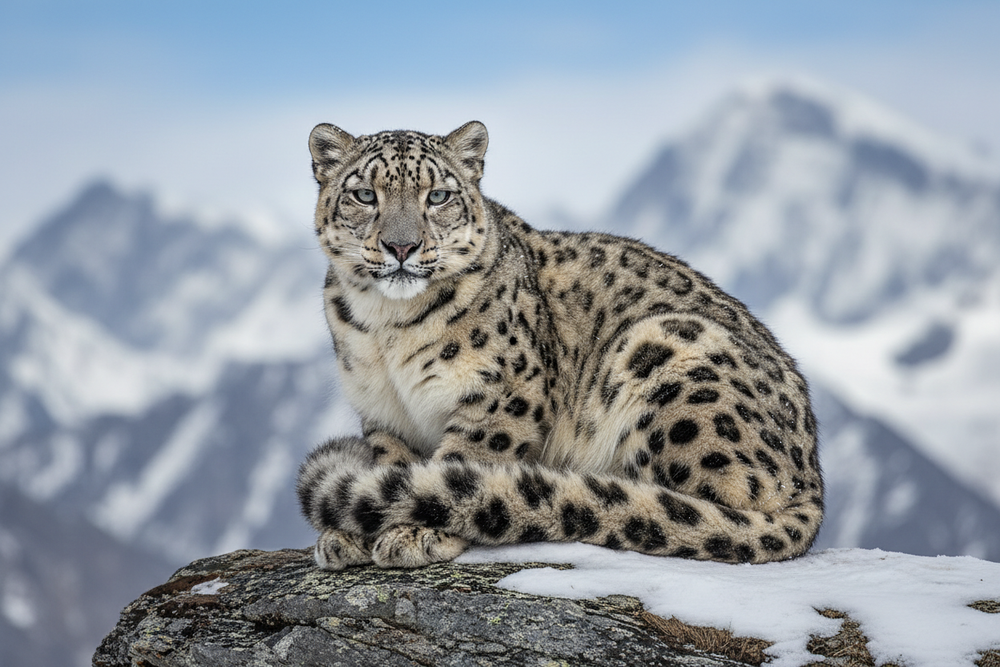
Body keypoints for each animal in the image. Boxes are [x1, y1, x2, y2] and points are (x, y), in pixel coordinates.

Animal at [296, 120, 823, 570]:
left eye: (439, 195)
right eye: (365, 195)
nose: (401, 247)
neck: (387, 329)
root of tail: (811, 481)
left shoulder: (502, 393)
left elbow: (461, 462)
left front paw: (413, 532)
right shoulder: (383, 411)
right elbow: (392, 466)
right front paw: (351, 533)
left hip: (667, 349)